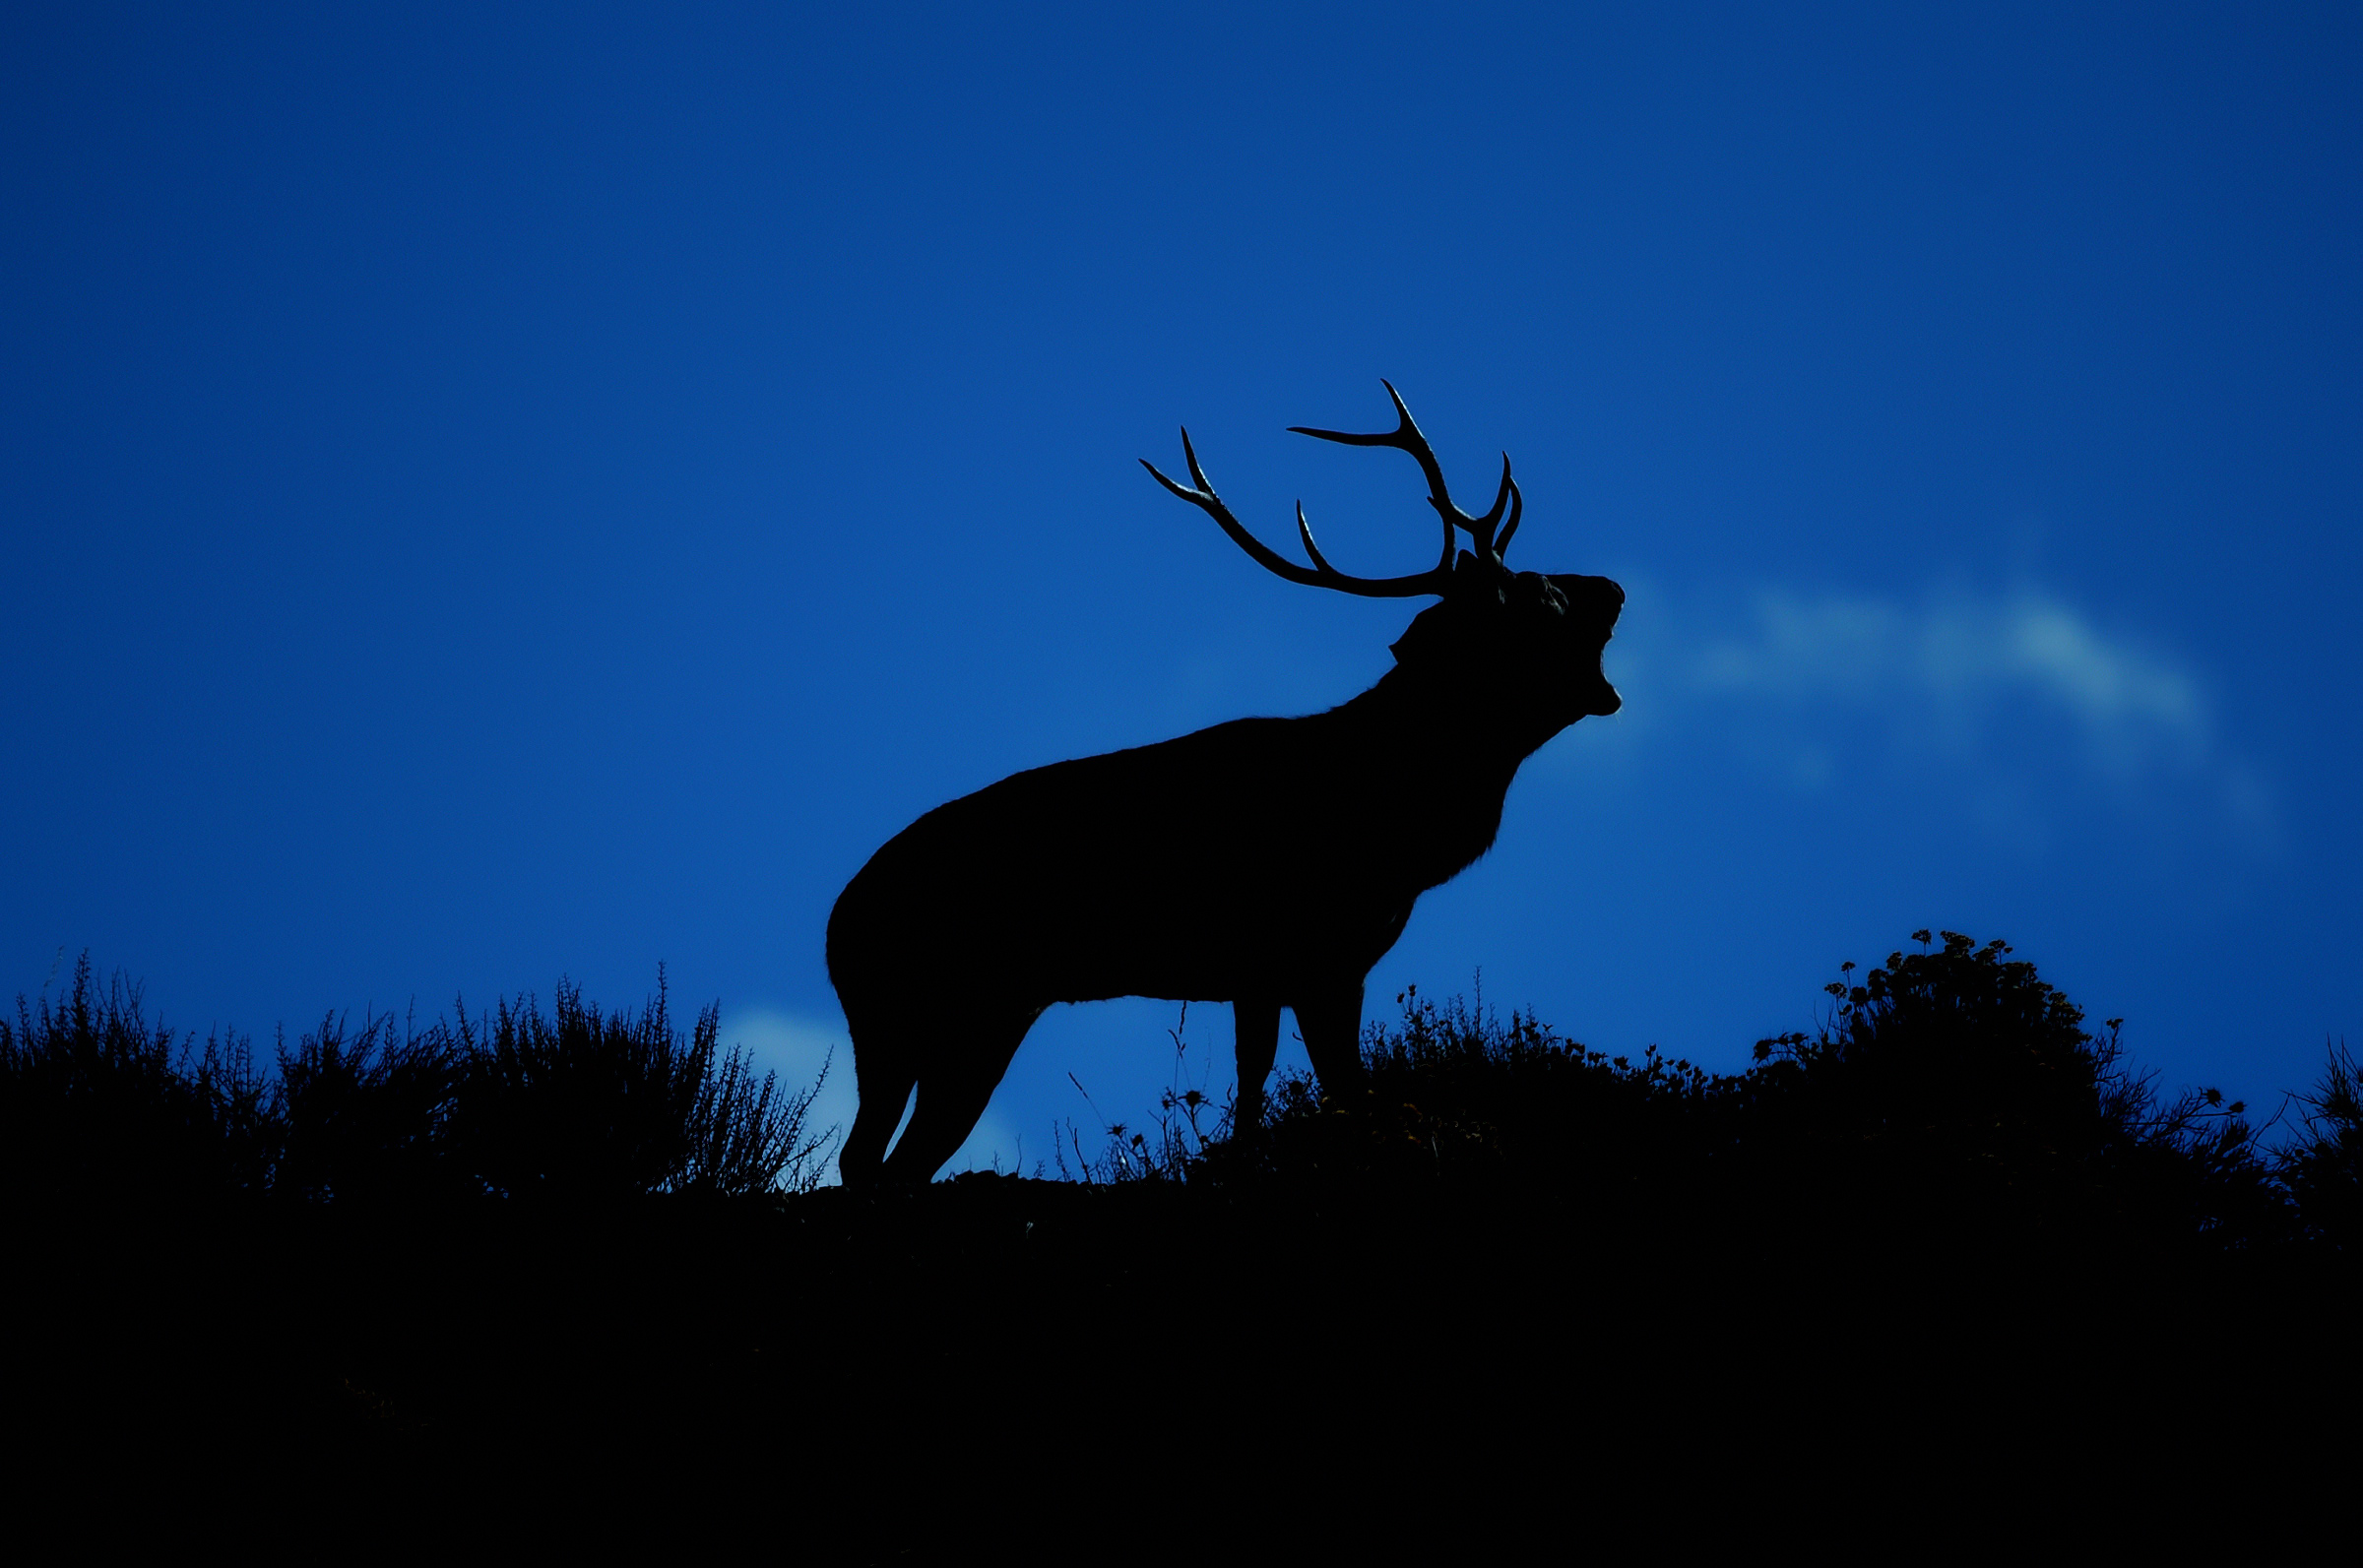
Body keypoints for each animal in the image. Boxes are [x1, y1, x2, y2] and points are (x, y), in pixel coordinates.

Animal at [828, 383, 1623, 1184]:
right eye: (1539, 595)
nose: (1614, 587)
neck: (1397, 835)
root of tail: (837, 924)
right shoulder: (1317, 959)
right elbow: (1343, 1090)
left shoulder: (1263, 975)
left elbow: (1255, 1078)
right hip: (936, 1015)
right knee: (873, 1160)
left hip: (956, 1024)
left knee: (880, 1159)